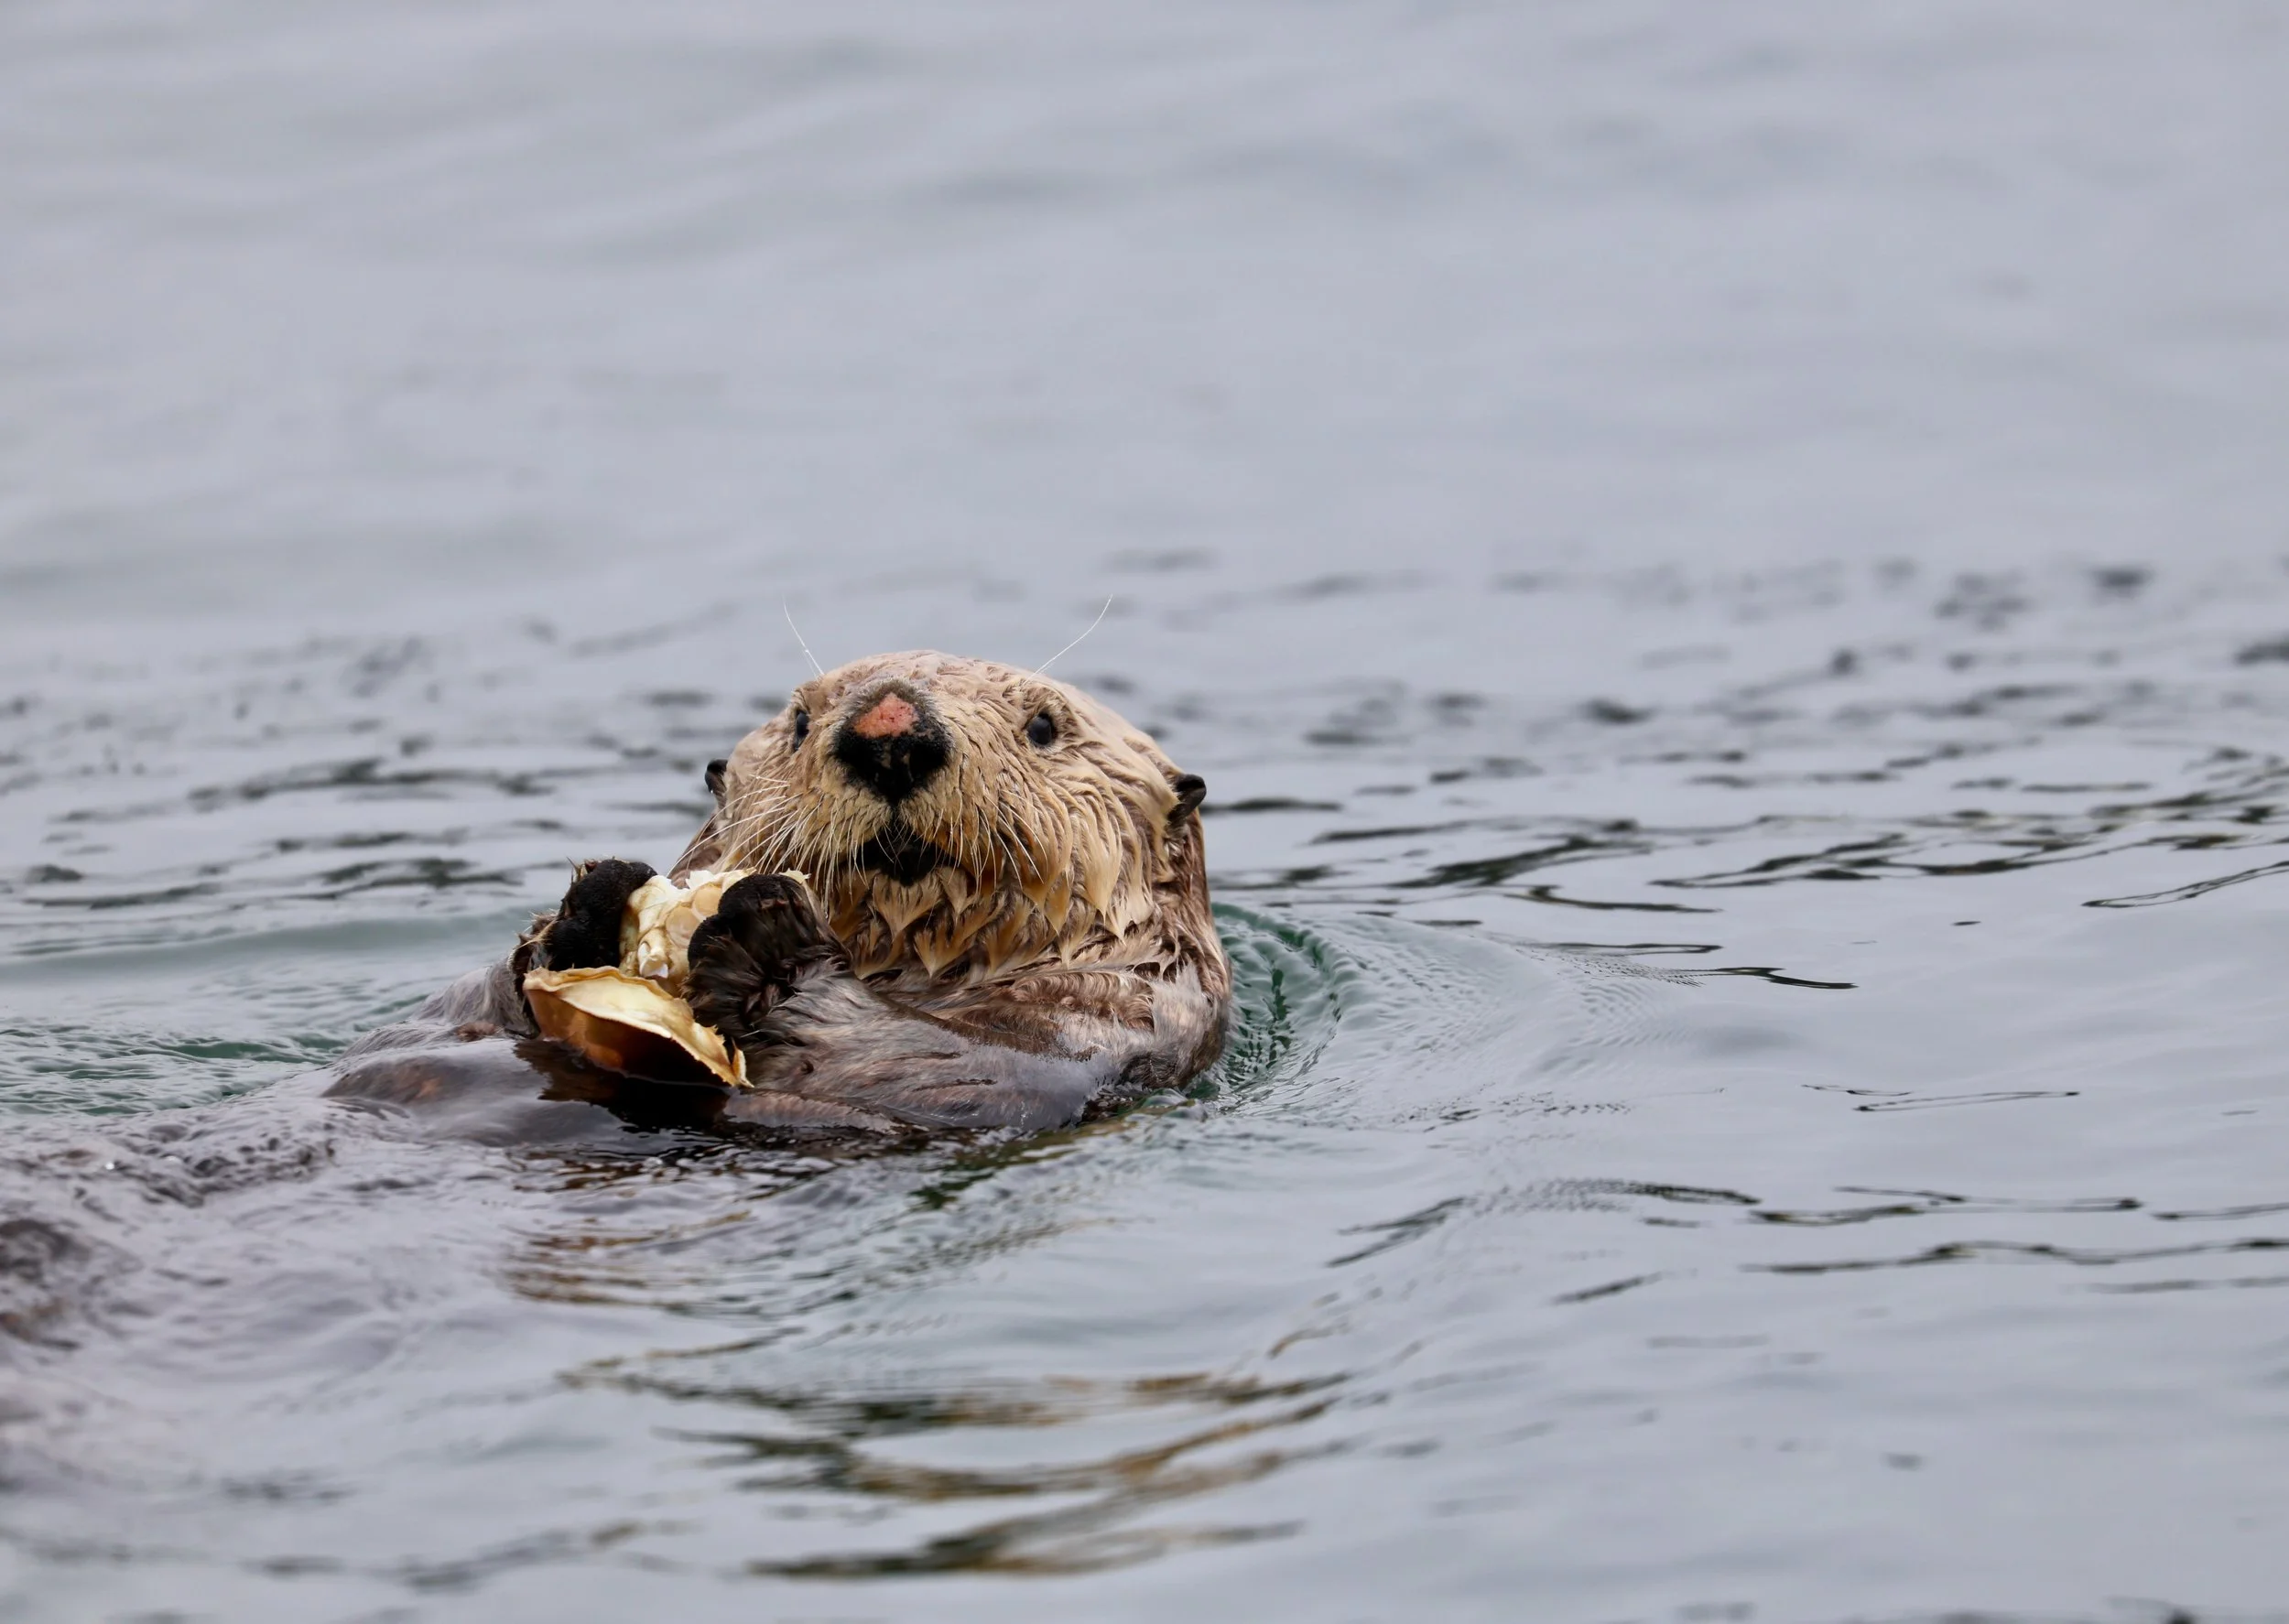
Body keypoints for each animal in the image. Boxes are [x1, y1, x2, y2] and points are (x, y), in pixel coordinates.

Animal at [328, 651, 1229, 1137]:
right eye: (798, 721)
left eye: (1044, 726)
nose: (890, 733)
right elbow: (464, 1010)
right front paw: (590, 911)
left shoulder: (1099, 1023)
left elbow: (953, 1067)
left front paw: (767, 943)